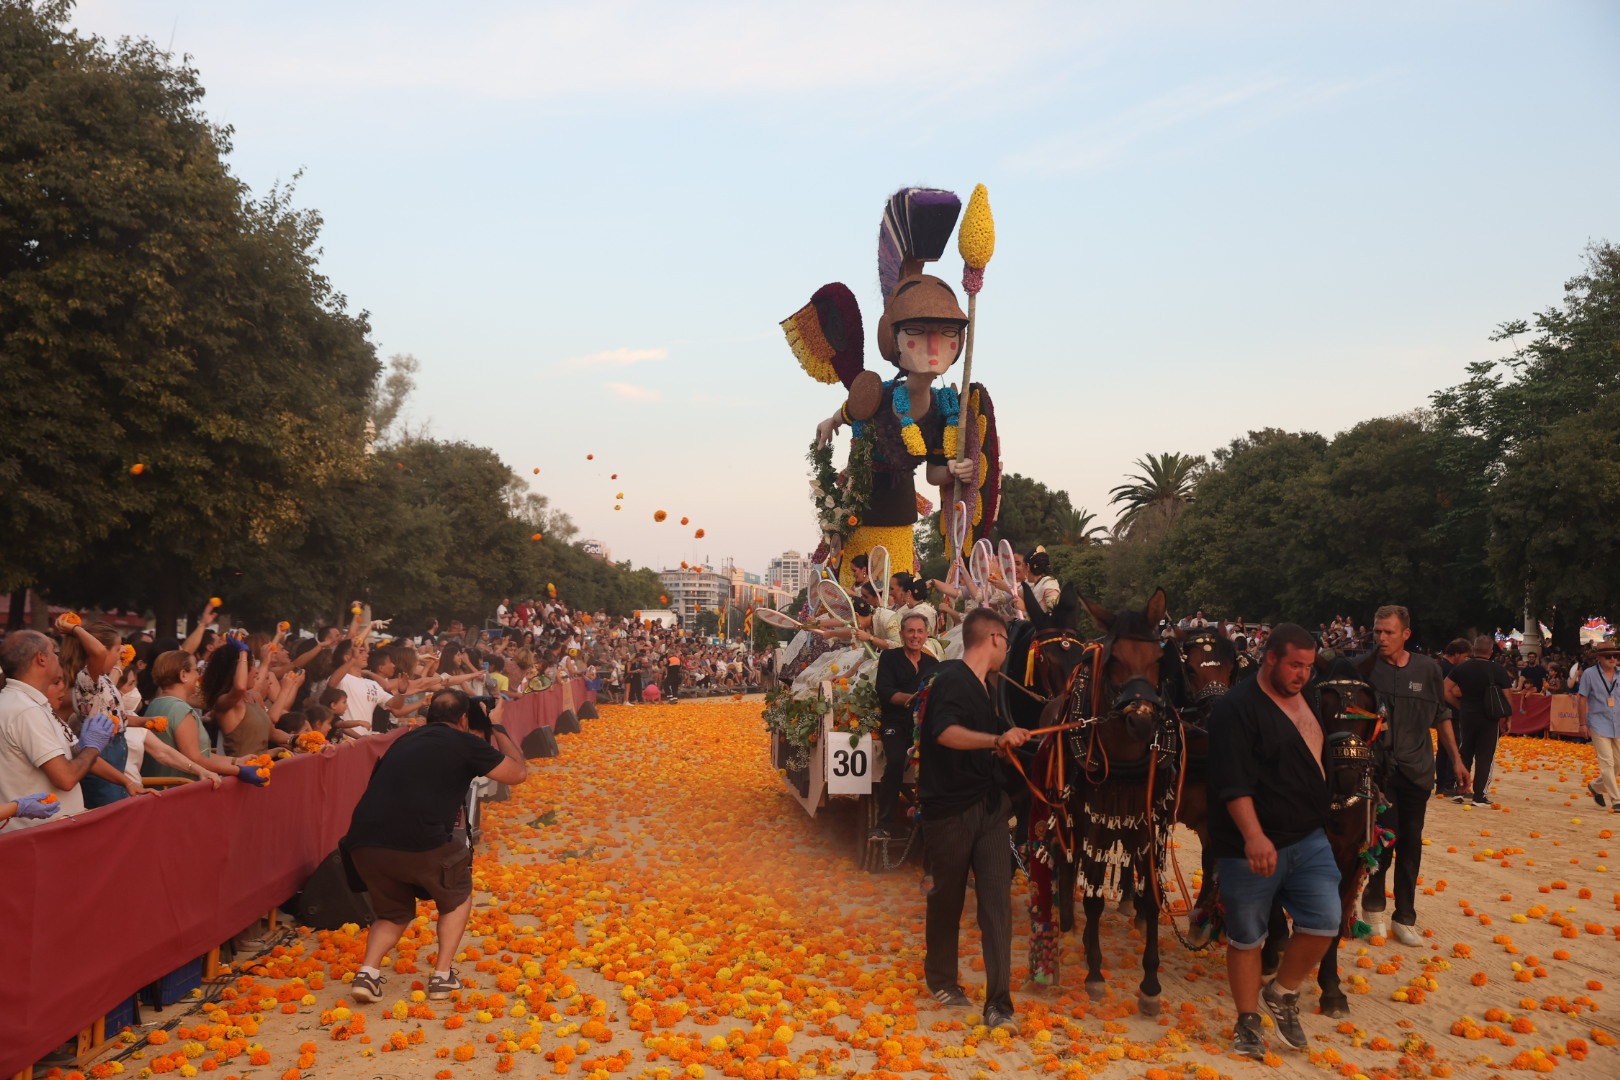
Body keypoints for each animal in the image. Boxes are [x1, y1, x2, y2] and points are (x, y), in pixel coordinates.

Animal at [1023, 586, 1179, 1010]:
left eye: (1158, 659)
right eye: (1113, 660)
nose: (1142, 719)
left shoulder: (1148, 821)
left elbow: (1151, 896)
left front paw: (1151, 983)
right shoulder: (1091, 819)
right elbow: (1092, 897)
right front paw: (1094, 972)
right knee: (1066, 864)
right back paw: (1067, 923)